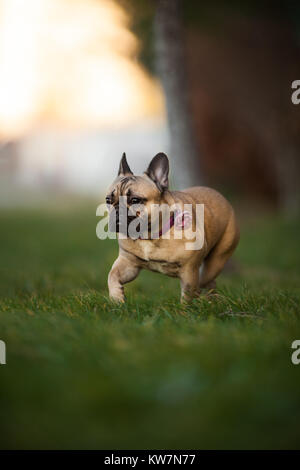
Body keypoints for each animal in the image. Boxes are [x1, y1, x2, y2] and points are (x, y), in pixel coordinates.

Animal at [105, 152, 239, 302]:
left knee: (205, 281)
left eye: (135, 200)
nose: (117, 211)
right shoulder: (128, 263)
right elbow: (112, 275)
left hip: (215, 261)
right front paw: (116, 298)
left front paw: (186, 308)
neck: (149, 236)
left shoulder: (189, 270)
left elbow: (187, 294)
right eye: (108, 200)